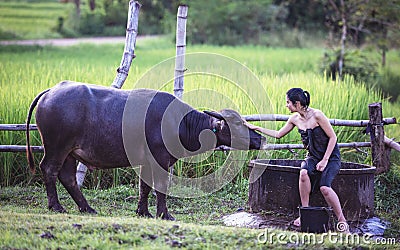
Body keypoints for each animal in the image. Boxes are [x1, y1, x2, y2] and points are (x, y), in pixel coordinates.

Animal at [25, 81, 266, 220]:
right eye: (237, 123)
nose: (260, 138)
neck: (179, 123)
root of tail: (51, 91)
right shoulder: (160, 159)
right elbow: (160, 187)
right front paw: (164, 214)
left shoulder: (146, 161)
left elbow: (145, 186)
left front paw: (143, 212)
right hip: (57, 147)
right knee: (49, 169)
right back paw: (56, 206)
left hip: (70, 153)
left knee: (67, 177)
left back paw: (87, 208)